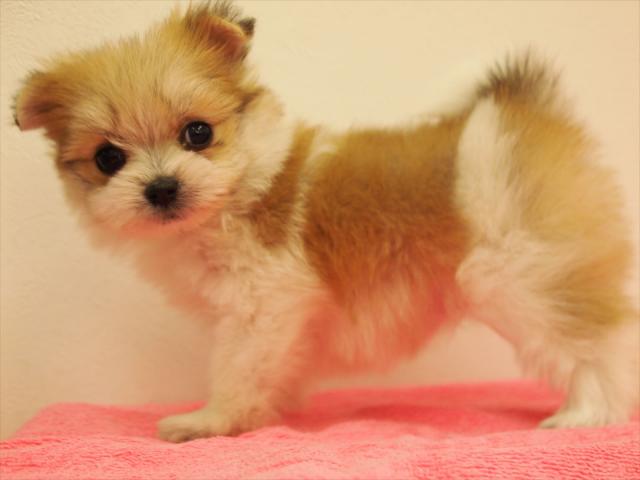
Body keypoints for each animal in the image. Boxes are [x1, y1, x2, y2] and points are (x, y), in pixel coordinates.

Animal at [13, 1, 639, 442]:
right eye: (107, 159)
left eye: (198, 132)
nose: (162, 187)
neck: (241, 191)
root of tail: (524, 111)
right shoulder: (279, 321)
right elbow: (274, 368)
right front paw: (269, 410)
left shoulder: (260, 306)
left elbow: (235, 368)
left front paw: (211, 420)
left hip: (523, 273)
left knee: (595, 344)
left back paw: (586, 413)